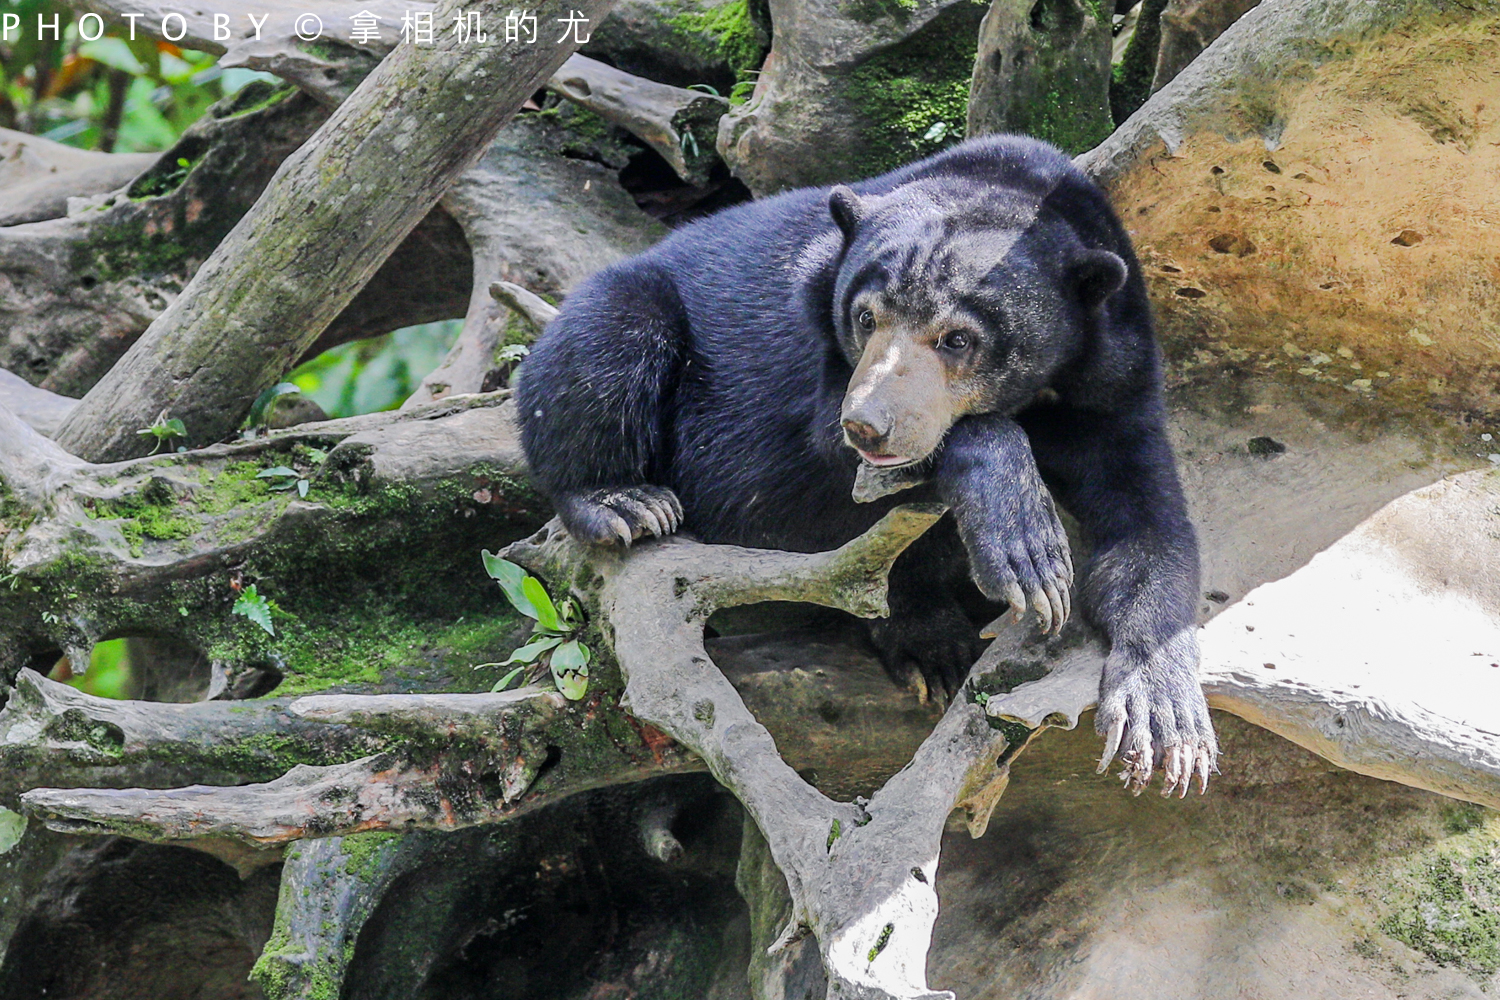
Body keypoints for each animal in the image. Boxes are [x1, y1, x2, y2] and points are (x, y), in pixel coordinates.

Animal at [516, 137, 1218, 797]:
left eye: (958, 338)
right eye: (864, 317)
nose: (870, 424)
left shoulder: (1114, 378)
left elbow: (1146, 524)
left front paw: (1166, 721)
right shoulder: (818, 342)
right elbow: (845, 455)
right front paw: (1028, 554)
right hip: (624, 311)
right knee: (608, 344)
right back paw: (624, 502)